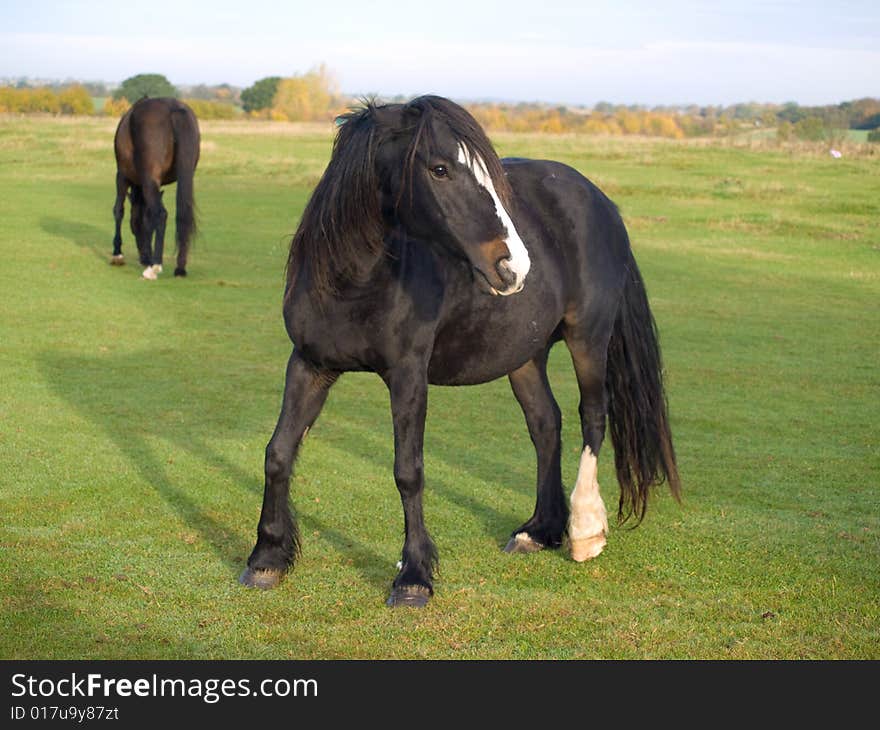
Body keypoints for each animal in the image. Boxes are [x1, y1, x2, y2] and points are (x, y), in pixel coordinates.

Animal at [111, 96, 200, 278]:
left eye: (135, 226)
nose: (144, 258)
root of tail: (173, 108)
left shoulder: (122, 177)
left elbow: (118, 210)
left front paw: (117, 253)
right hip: (185, 177)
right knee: (182, 216)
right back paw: (179, 267)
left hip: (147, 181)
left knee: (161, 214)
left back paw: (155, 266)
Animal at [241, 98, 680, 608]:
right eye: (439, 168)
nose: (514, 265)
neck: (353, 282)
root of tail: (601, 200)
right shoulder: (309, 364)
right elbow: (278, 452)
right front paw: (267, 558)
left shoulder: (408, 375)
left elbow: (408, 471)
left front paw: (413, 577)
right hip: (524, 353)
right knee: (545, 423)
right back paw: (538, 531)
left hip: (587, 336)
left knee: (592, 415)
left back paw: (584, 531)